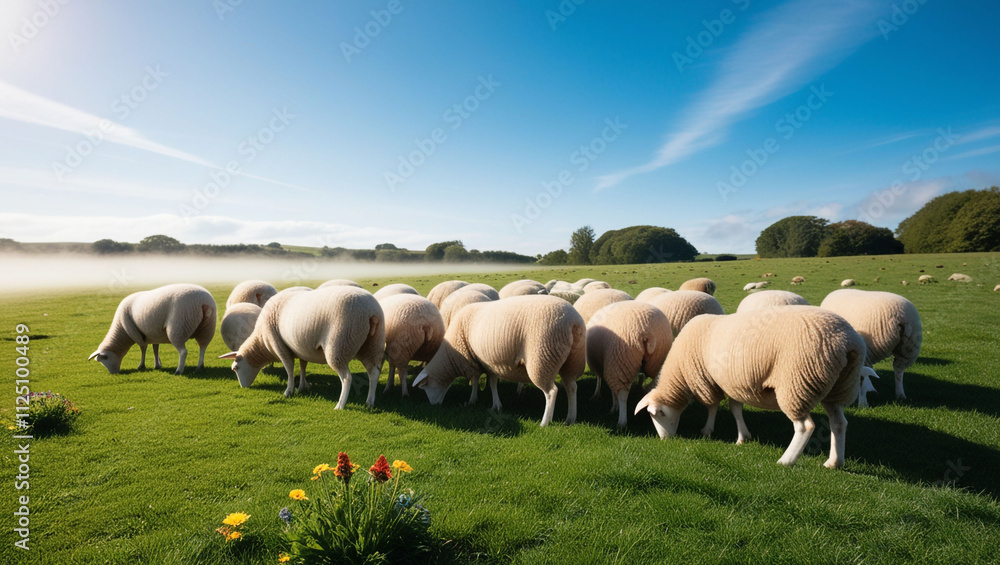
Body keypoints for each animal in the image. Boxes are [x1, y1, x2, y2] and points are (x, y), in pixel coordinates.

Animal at [220, 286, 385, 407]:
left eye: (235, 368)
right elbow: (303, 366)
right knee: (373, 373)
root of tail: (371, 312)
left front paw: (289, 391)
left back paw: (340, 405)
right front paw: (302, 386)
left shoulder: (279, 346)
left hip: (340, 344)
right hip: (372, 345)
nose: (243, 387)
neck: (262, 342)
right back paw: (370, 402)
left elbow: (290, 369)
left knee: (347, 378)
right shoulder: (300, 349)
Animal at [413, 295, 586, 426]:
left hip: (543, 356)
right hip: (572, 361)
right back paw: (570, 418)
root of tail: (572, 322)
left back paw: (545, 422)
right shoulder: (488, 362)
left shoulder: (476, 361)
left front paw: (475, 400)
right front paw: (493, 404)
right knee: (572, 387)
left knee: (551, 392)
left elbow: (480, 381)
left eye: (425, 387)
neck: (450, 356)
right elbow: (489, 382)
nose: (434, 406)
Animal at [635, 306, 867, 468]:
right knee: (839, 423)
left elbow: (712, 407)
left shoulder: (708, 381)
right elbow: (736, 410)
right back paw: (834, 463)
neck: (680, 373)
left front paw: (707, 430)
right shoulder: (731, 383)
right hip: (836, 386)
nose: (665, 439)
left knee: (805, 426)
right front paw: (743, 438)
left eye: (658, 414)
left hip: (797, 382)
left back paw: (786, 460)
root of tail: (848, 342)